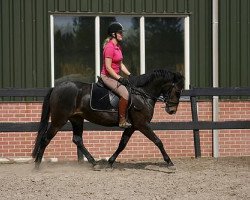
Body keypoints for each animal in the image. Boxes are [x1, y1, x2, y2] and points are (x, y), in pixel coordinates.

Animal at [31, 69, 184, 169]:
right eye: (177, 91)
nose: (172, 111)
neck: (142, 94)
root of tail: (56, 87)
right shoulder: (142, 124)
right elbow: (158, 141)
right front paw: (170, 163)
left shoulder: (132, 126)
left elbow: (122, 144)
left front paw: (110, 162)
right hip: (59, 120)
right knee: (45, 139)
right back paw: (37, 166)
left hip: (76, 119)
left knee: (77, 140)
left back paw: (94, 163)